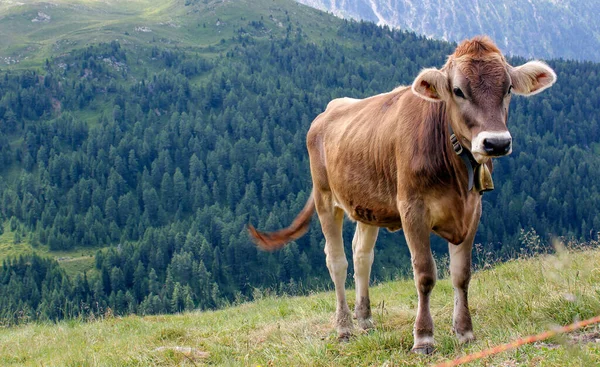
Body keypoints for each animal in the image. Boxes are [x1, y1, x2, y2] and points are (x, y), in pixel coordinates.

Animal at [247, 36, 552, 356]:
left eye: (508, 89)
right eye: (458, 91)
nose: (496, 143)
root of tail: (328, 110)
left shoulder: (473, 210)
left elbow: (462, 274)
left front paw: (465, 331)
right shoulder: (412, 209)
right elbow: (425, 273)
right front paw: (424, 337)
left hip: (366, 204)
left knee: (361, 255)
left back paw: (365, 319)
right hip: (325, 198)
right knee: (337, 260)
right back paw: (344, 327)